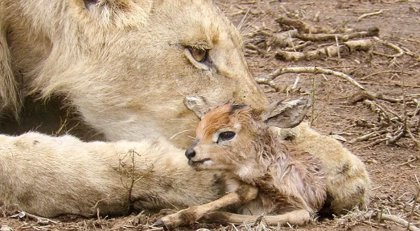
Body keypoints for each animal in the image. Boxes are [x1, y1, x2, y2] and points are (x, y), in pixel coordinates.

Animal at [157, 102, 328, 227]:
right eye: (199, 131)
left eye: (226, 134)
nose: (190, 153)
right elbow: (246, 192)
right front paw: (168, 219)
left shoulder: (306, 208)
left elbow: (299, 215)